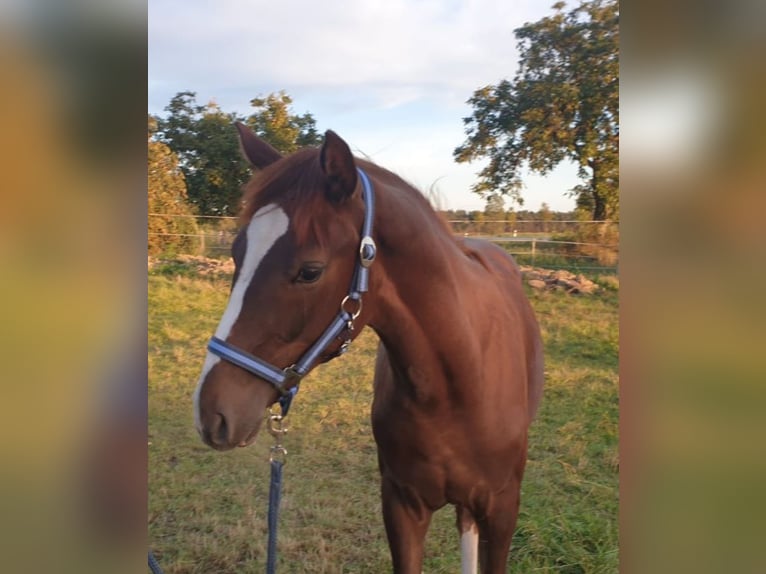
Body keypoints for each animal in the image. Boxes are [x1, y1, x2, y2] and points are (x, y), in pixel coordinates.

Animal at [193, 123, 544, 574]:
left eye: (310, 271)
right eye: (237, 253)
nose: (212, 414)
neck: (459, 384)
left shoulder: (502, 510)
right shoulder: (401, 505)